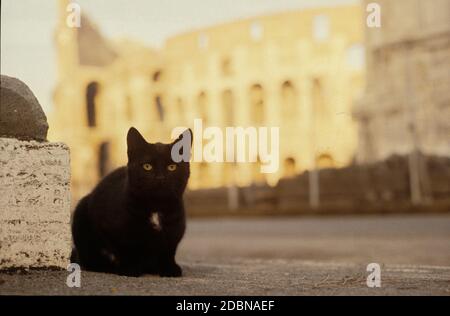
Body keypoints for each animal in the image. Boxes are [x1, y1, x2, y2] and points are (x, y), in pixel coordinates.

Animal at [70, 126, 192, 276]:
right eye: (147, 166)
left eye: (172, 167)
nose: (160, 177)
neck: (156, 207)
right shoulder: (112, 230)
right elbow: (126, 249)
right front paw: (130, 269)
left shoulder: (175, 229)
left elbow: (168, 250)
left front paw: (169, 268)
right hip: (81, 212)